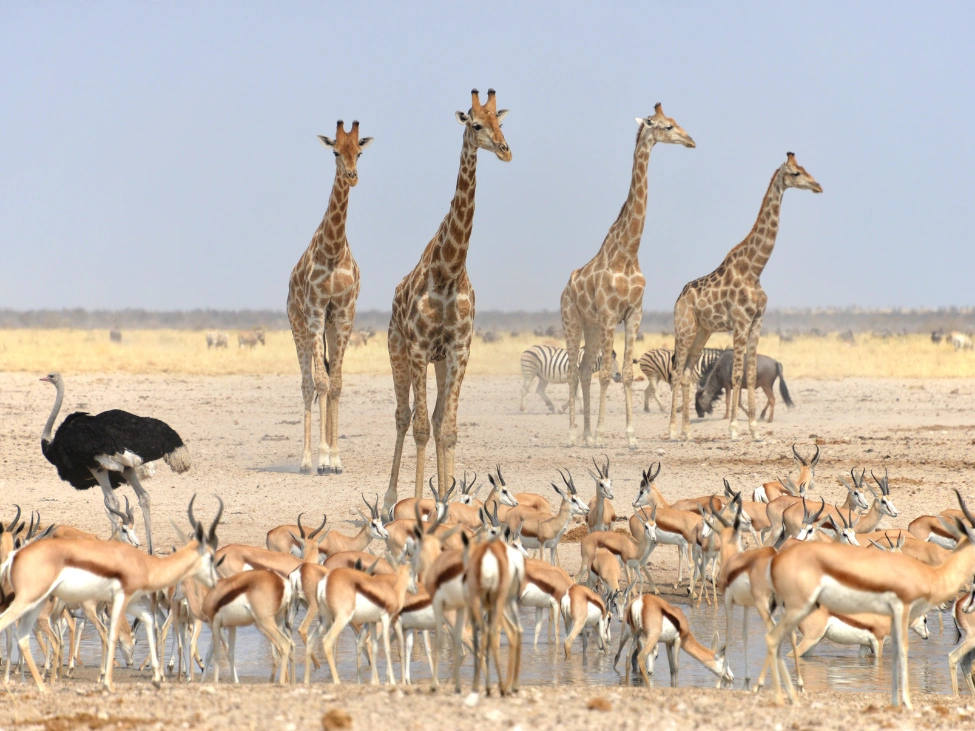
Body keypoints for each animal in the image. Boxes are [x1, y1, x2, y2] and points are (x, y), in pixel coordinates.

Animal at [386, 90, 516, 516]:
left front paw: (448, 498)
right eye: (475, 124)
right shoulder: (418, 348)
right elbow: (422, 429)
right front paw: (416, 503)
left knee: (436, 415)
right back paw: (390, 498)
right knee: (403, 417)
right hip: (398, 350)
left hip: (440, 363)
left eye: (500, 123)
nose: (506, 151)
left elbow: (448, 429)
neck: (449, 270)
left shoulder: (459, 349)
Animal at [560, 102, 696, 446]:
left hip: (592, 327)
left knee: (584, 369)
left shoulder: (634, 313)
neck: (628, 253)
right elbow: (608, 373)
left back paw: (585, 434)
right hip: (572, 320)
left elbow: (628, 372)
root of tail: (565, 288)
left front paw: (631, 436)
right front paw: (602, 433)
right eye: (666, 126)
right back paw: (574, 434)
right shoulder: (610, 314)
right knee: (572, 370)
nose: (691, 141)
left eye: (675, 121)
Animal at [668, 152, 820, 444]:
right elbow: (738, 374)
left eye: (805, 168)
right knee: (677, 370)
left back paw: (688, 432)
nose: (818, 186)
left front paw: (755, 430)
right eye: (795, 173)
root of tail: (678, 299)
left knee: (687, 373)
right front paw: (734, 430)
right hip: (684, 328)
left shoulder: (757, 321)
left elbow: (750, 373)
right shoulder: (739, 321)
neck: (755, 268)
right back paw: (671, 432)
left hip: (702, 331)